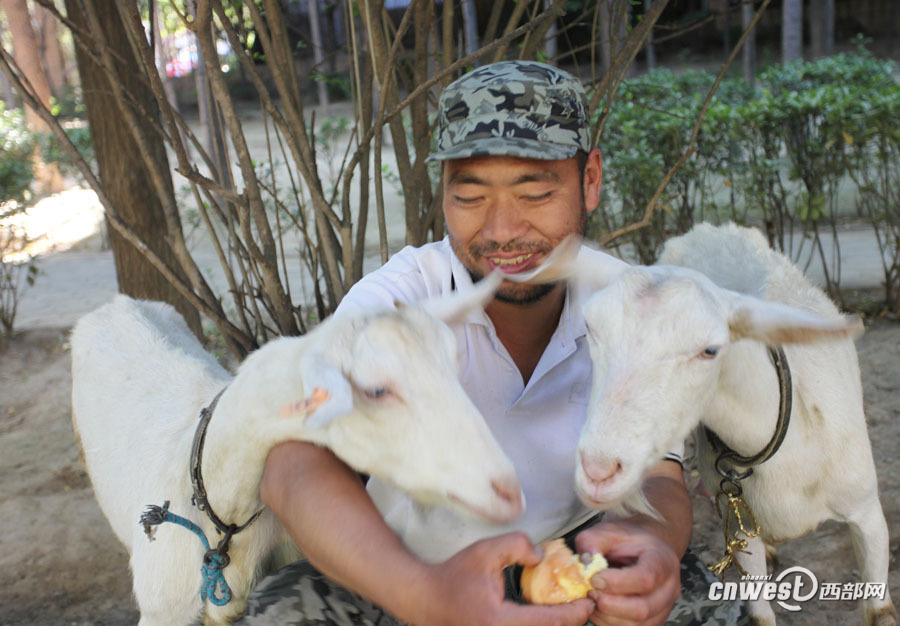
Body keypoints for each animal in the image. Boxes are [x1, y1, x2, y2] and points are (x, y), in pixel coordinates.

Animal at [568, 224, 892, 624]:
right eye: (590, 327)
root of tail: (707, 228)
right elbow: (759, 613)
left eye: (710, 350)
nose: (598, 470)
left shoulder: (868, 513)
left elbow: (881, 610)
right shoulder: (741, 536)